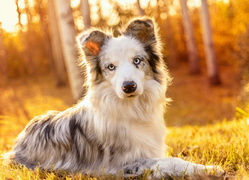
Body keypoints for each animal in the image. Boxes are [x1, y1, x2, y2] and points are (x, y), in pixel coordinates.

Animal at [5, 17, 224, 178]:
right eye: (111, 67)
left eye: (137, 61)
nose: (129, 86)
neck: (133, 108)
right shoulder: (124, 164)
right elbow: (172, 161)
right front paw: (208, 169)